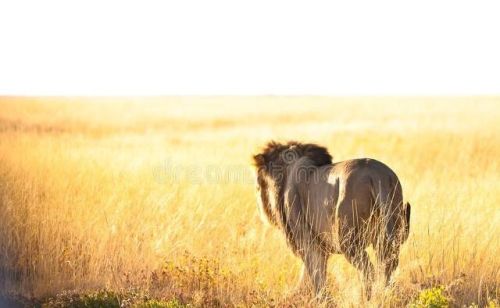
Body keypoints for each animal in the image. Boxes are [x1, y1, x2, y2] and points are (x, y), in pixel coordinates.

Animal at [252, 141, 412, 298]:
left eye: (258, 185)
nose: (259, 209)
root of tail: (377, 175)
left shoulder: (307, 242)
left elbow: (316, 275)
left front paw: (320, 299)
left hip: (348, 240)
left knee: (368, 271)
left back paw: (365, 298)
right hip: (388, 235)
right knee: (387, 268)